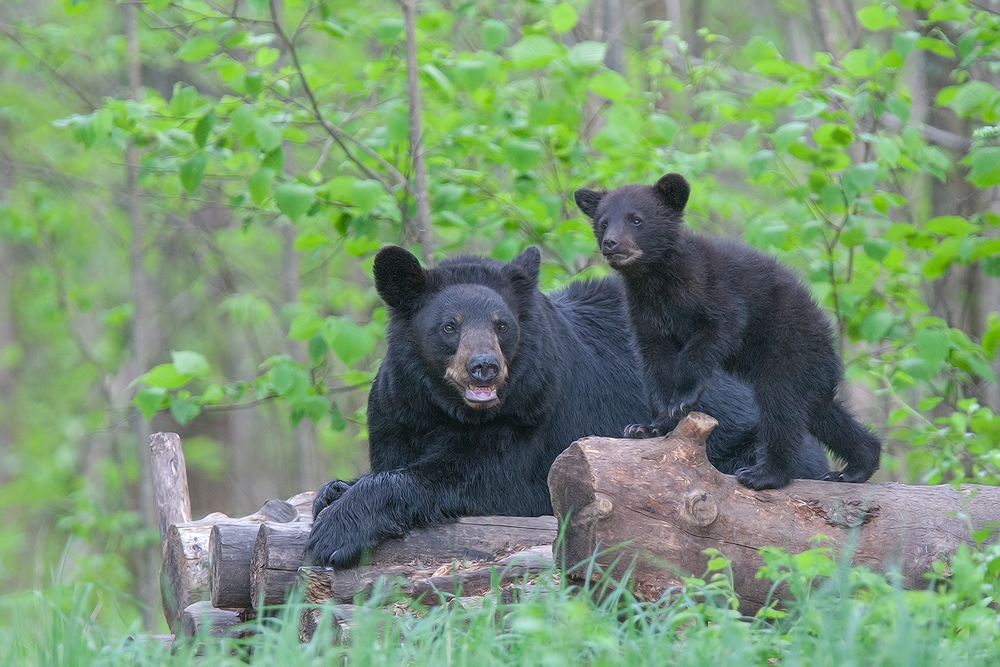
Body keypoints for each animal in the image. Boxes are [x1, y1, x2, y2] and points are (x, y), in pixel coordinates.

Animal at [306, 243, 820, 568]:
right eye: (449, 326)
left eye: (502, 325)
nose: (484, 368)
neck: (448, 408)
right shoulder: (398, 411)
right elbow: (390, 457)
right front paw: (335, 490)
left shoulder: (532, 411)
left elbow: (481, 476)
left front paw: (335, 533)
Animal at [576, 175, 880, 494]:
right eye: (603, 222)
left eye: (636, 219)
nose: (611, 243)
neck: (656, 278)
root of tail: (827, 337)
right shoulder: (645, 314)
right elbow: (654, 363)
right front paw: (649, 425)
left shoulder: (712, 288)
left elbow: (718, 330)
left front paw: (682, 398)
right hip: (810, 372)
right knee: (819, 411)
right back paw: (856, 466)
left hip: (789, 349)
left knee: (781, 408)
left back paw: (765, 474)